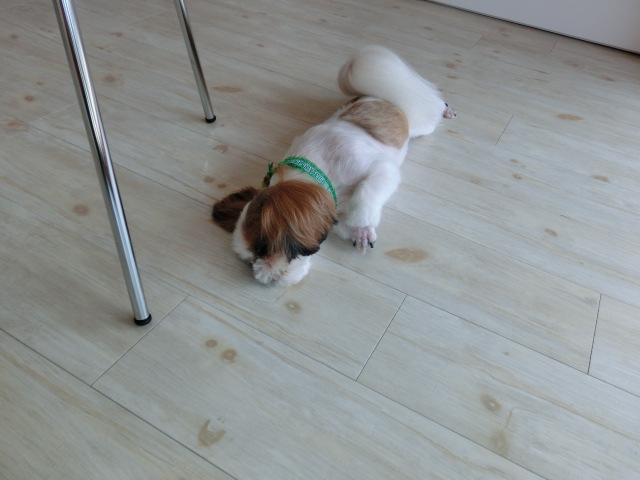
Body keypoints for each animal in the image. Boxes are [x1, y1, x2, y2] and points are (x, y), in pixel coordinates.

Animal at [212, 45, 455, 286]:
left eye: (264, 246)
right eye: (249, 261)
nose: (264, 277)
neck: (320, 168)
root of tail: (373, 96)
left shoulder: (379, 169)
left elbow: (365, 196)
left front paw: (362, 224)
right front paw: (358, 232)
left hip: (420, 123)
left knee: (431, 101)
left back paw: (444, 109)